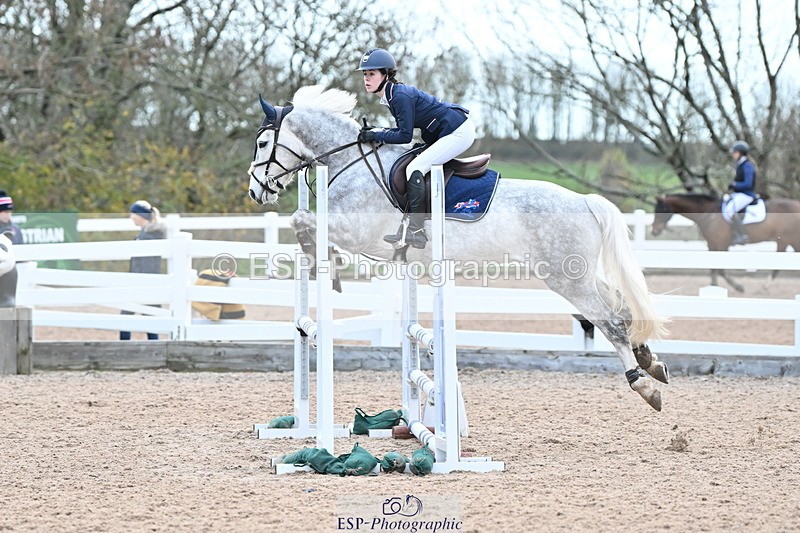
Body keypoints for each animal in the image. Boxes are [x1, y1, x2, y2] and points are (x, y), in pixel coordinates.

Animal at [246, 85, 669, 411]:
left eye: (264, 143)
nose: (255, 191)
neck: (349, 160)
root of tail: (585, 200)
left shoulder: (354, 231)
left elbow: (301, 219)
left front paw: (323, 259)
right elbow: (302, 218)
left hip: (567, 279)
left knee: (611, 321)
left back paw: (643, 384)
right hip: (577, 273)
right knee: (621, 307)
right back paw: (650, 361)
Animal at [652, 193, 800, 292]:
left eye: (661, 210)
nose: (654, 231)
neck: (708, 213)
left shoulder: (721, 244)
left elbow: (721, 269)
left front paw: (738, 287)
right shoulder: (711, 244)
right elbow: (713, 268)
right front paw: (713, 287)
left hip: (785, 239)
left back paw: (765, 286)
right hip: (791, 240)